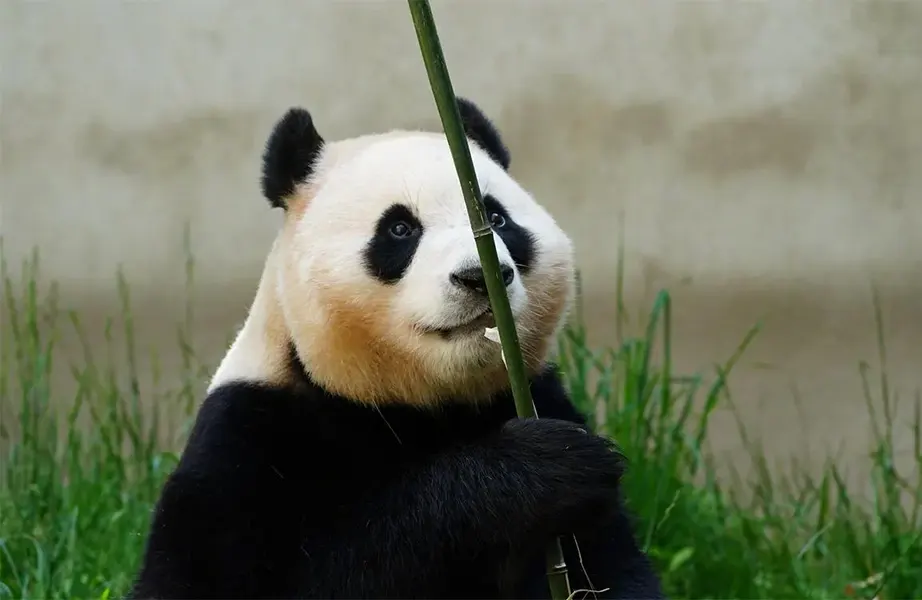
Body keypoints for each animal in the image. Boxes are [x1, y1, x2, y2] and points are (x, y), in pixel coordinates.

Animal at [127, 97, 665, 600]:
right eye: (400, 229)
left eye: (496, 218)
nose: (480, 276)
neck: (414, 400)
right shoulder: (249, 438)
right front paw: (537, 468)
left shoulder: (537, 395)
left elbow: (610, 567)